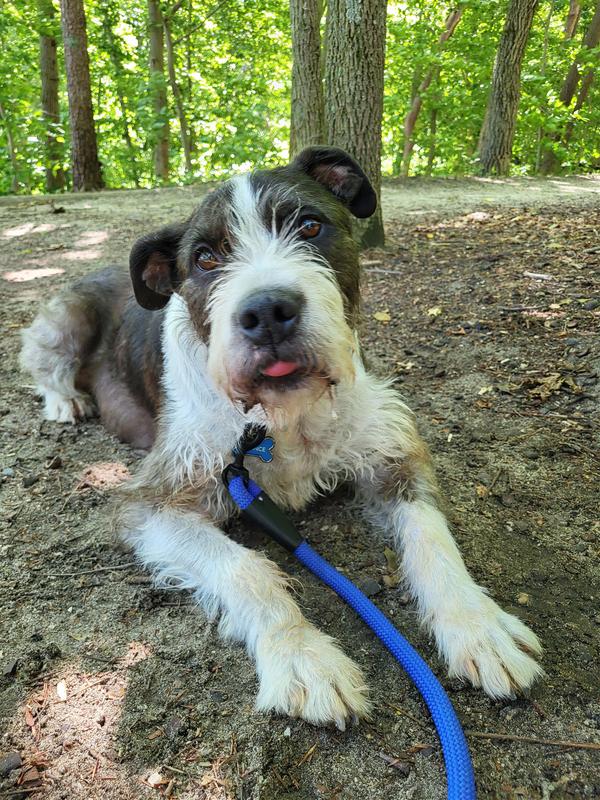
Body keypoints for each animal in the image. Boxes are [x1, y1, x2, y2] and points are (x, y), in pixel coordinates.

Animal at [20, 146, 543, 729]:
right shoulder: (154, 502)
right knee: (44, 361)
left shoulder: (392, 458)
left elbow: (432, 538)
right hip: (68, 318)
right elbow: (244, 568)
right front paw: (301, 655)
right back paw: (64, 401)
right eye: (205, 258)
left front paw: (477, 624)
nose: (267, 311)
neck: (281, 417)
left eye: (309, 225)